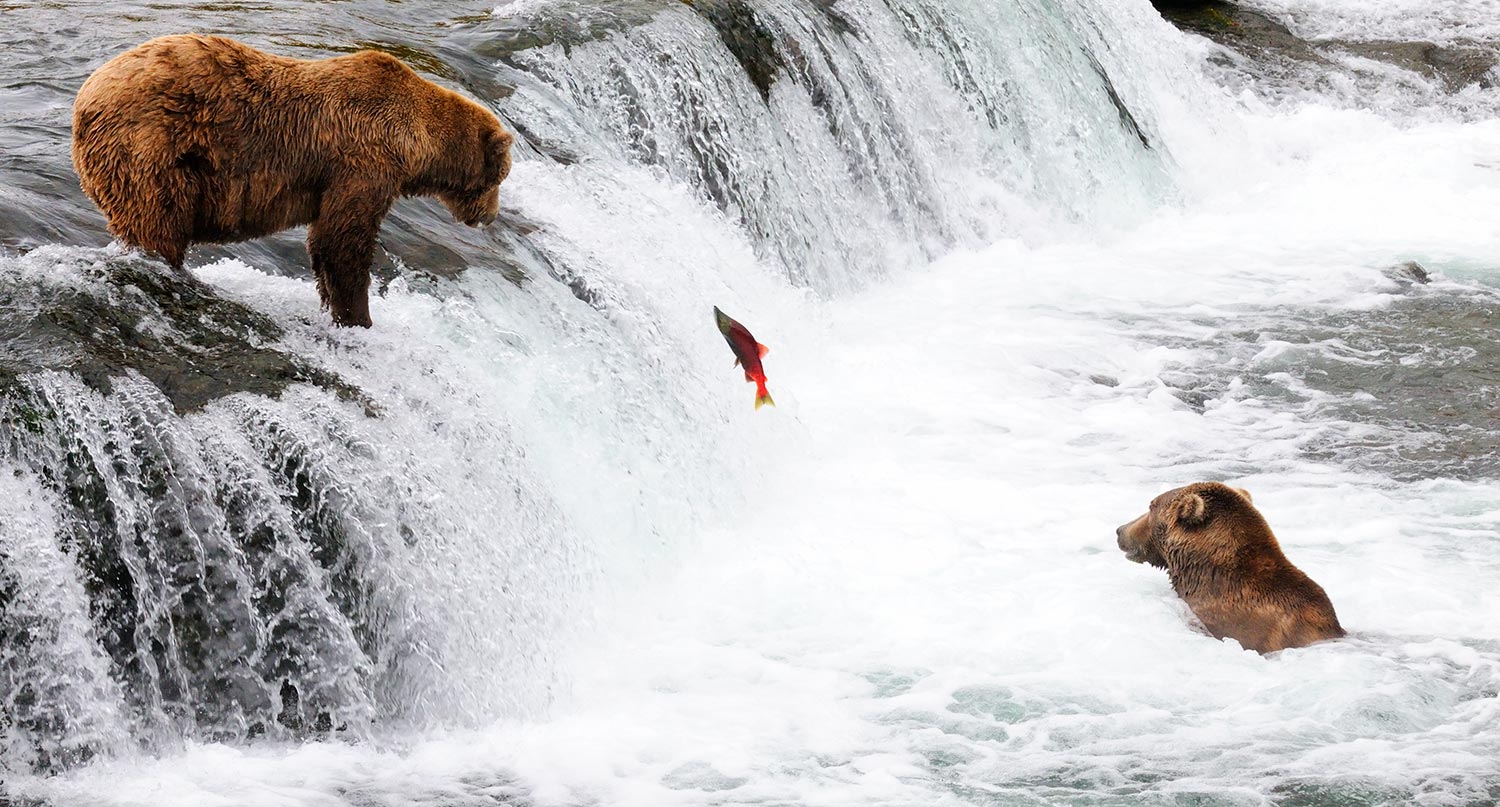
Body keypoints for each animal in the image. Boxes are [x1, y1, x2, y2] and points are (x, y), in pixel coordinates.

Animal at [71, 34, 516, 324]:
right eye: (500, 178)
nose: (491, 216)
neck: (413, 142)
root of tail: (86, 95)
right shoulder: (362, 163)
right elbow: (343, 241)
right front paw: (357, 315)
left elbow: (325, 242)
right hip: (153, 148)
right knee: (158, 221)